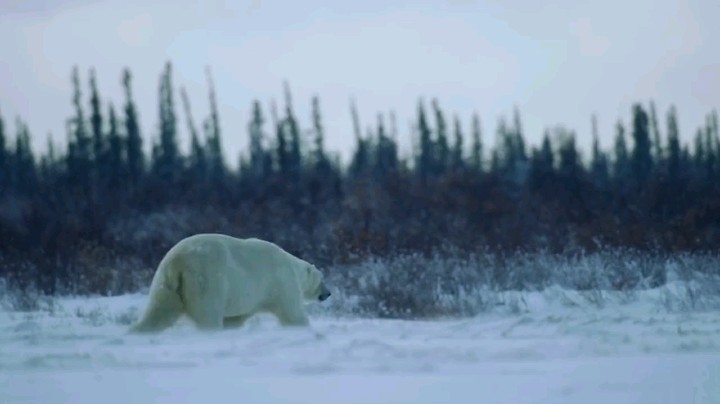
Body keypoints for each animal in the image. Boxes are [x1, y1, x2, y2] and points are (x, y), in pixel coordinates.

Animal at [129, 234, 332, 334]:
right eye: (322, 279)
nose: (328, 293)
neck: (292, 265)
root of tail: (178, 262)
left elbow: (236, 319)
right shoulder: (282, 282)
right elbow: (293, 314)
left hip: (165, 283)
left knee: (158, 312)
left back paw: (137, 331)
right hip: (207, 279)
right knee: (208, 314)